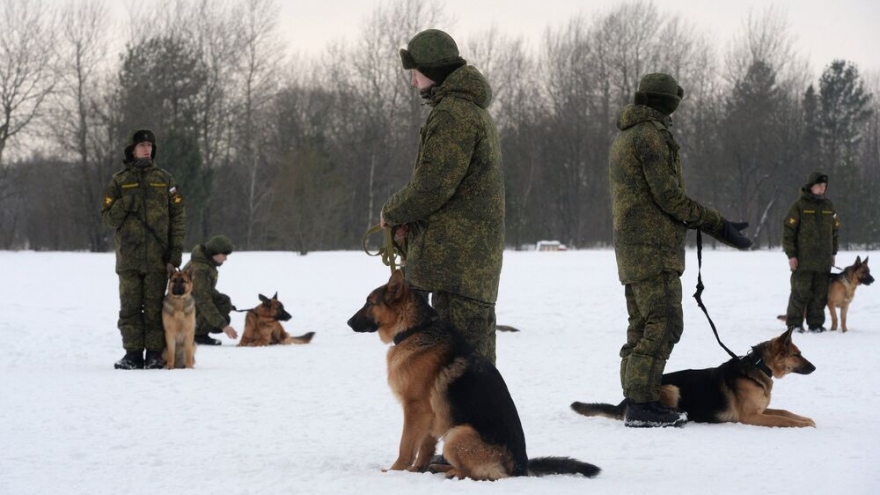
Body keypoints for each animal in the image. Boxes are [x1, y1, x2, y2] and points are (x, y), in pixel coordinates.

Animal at [348, 270, 600, 482]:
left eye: (369, 302)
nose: (348, 322)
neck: (416, 329)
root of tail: (521, 469)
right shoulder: (431, 415)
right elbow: (425, 448)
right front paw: (417, 470)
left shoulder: (415, 409)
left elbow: (406, 446)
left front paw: (395, 471)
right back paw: (439, 467)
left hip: (458, 434)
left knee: (484, 474)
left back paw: (451, 471)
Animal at [576, 328, 816, 428]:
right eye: (797, 354)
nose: (815, 368)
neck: (758, 366)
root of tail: (625, 400)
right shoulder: (750, 416)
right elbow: (783, 420)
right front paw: (802, 425)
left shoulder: (760, 410)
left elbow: (785, 412)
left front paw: (805, 419)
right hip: (672, 388)